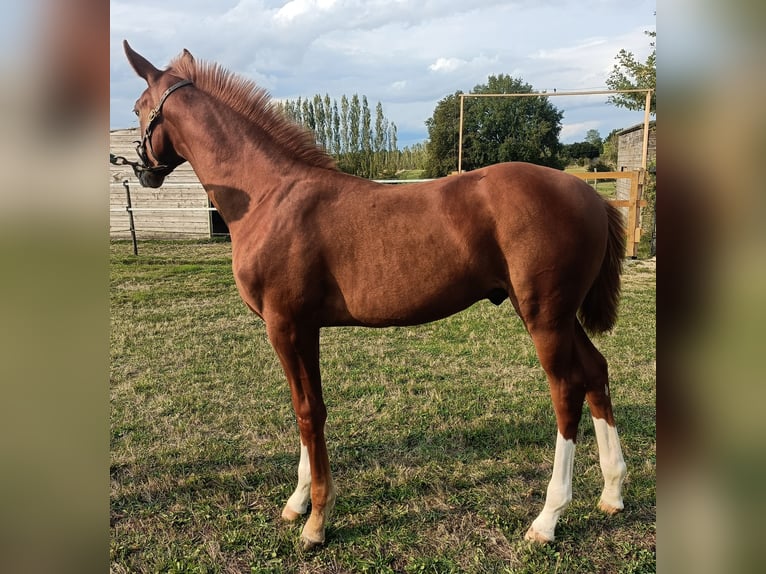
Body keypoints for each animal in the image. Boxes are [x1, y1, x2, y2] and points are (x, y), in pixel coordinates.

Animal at [123, 41, 628, 552]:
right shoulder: (301, 329)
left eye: (138, 108)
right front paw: (298, 502)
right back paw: (611, 492)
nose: (142, 170)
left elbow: (309, 412)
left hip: (544, 317)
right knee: (595, 373)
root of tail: (591, 195)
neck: (270, 196)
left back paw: (548, 519)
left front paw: (316, 521)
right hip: (559, 317)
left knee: (566, 390)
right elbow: (306, 409)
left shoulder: (286, 326)